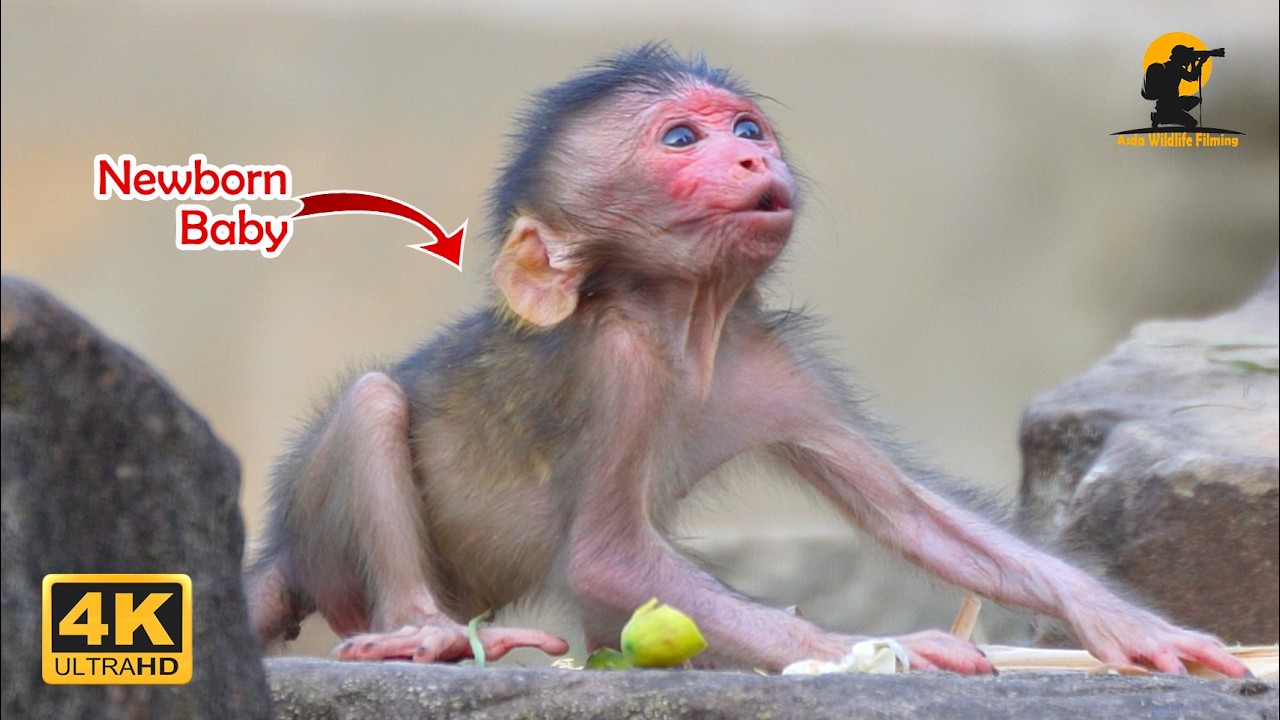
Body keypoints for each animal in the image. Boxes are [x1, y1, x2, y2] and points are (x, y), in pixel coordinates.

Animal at [244, 44, 1248, 676]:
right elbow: (609, 558)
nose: (751, 158)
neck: (687, 328)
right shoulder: (618, 368)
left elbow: (910, 516)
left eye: (746, 127)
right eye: (683, 140)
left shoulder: (770, 360)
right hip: (333, 548)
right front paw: (875, 650)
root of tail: (280, 554)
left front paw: (1127, 623)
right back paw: (426, 634)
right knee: (375, 403)